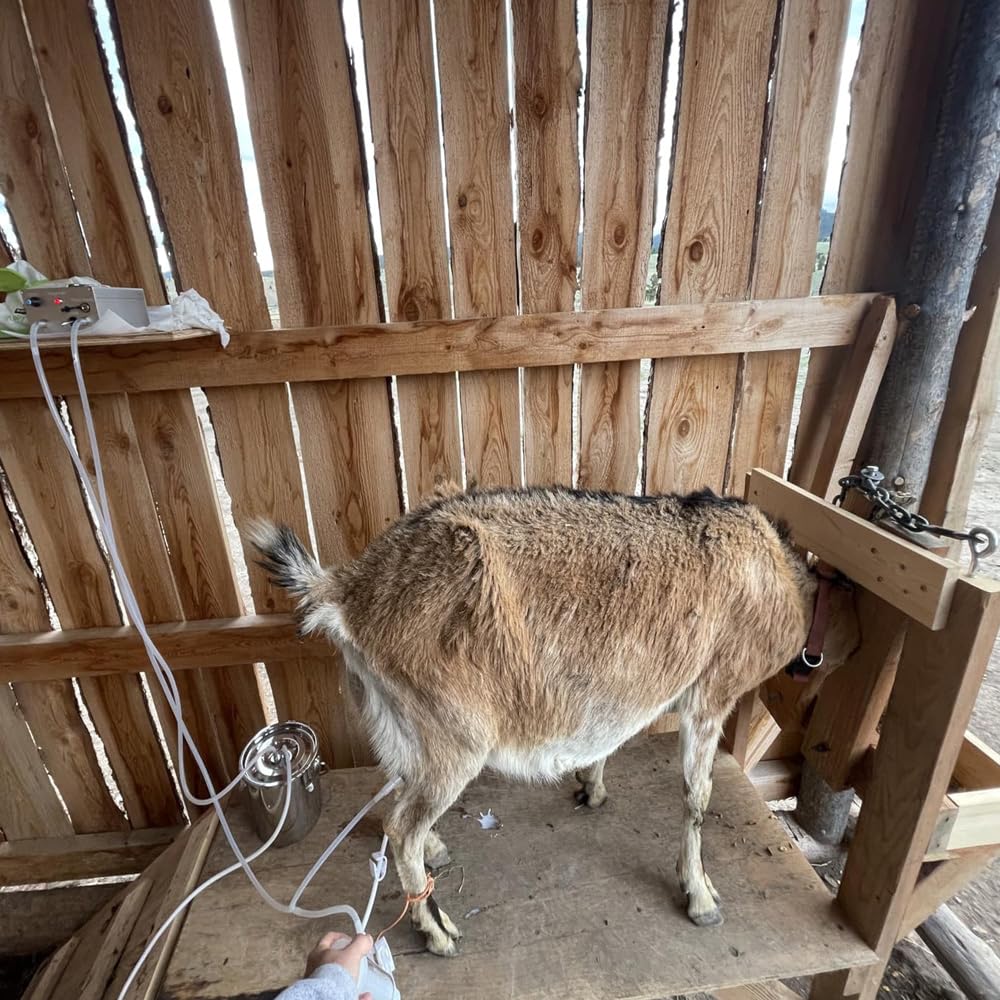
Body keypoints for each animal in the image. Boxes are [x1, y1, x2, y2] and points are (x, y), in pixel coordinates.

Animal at [251, 484, 859, 955]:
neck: (781, 577)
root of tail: (347, 591)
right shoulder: (712, 691)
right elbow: (697, 794)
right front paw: (701, 895)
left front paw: (592, 787)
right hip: (455, 732)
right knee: (401, 825)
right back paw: (438, 930)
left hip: (392, 713)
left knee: (400, 794)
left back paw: (435, 852)